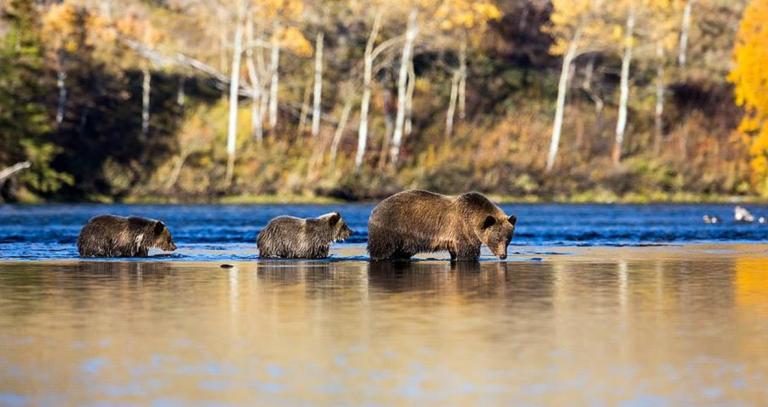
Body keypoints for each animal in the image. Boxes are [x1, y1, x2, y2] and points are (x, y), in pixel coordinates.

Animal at [366, 190, 516, 262]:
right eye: (496, 238)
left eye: (508, 239)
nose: (503, 255)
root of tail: (374, 209)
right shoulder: (463, 231)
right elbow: (467, 253)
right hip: (391, 229)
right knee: (382, 250)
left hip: (405, 240)